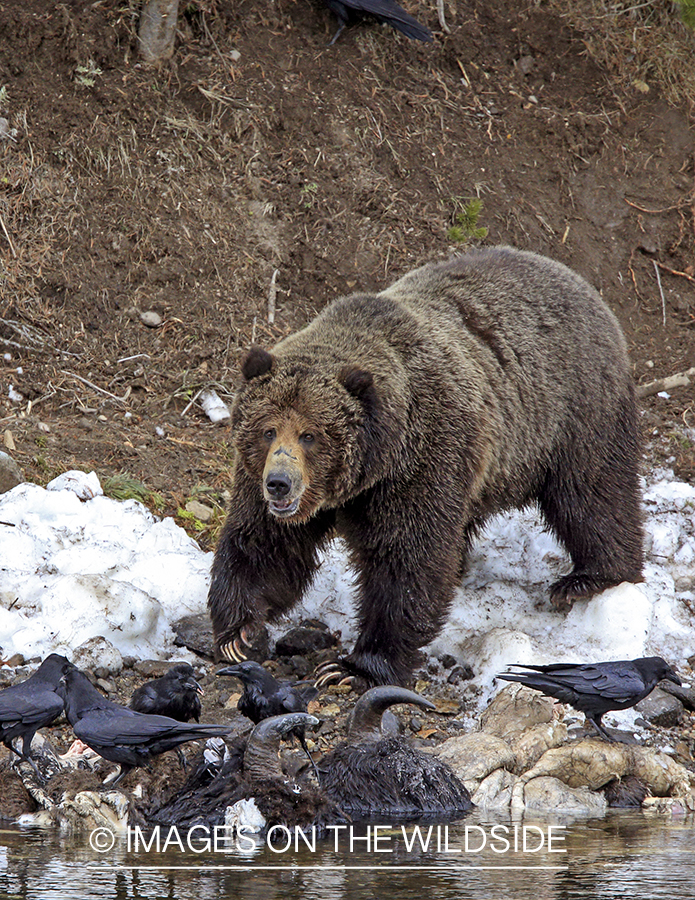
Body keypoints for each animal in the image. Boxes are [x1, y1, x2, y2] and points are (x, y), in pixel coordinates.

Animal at [209, 244, 644, 684]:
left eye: (310, 434)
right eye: (268, 430)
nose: (279, 483)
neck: (372, 467)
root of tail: (579, 282)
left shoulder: (421, 460)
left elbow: (408, 561)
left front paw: (355, 667)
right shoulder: (264, 480)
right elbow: (265, 543)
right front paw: (238, 631)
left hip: (571, 410)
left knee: (591, 494)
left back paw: (590, 579)